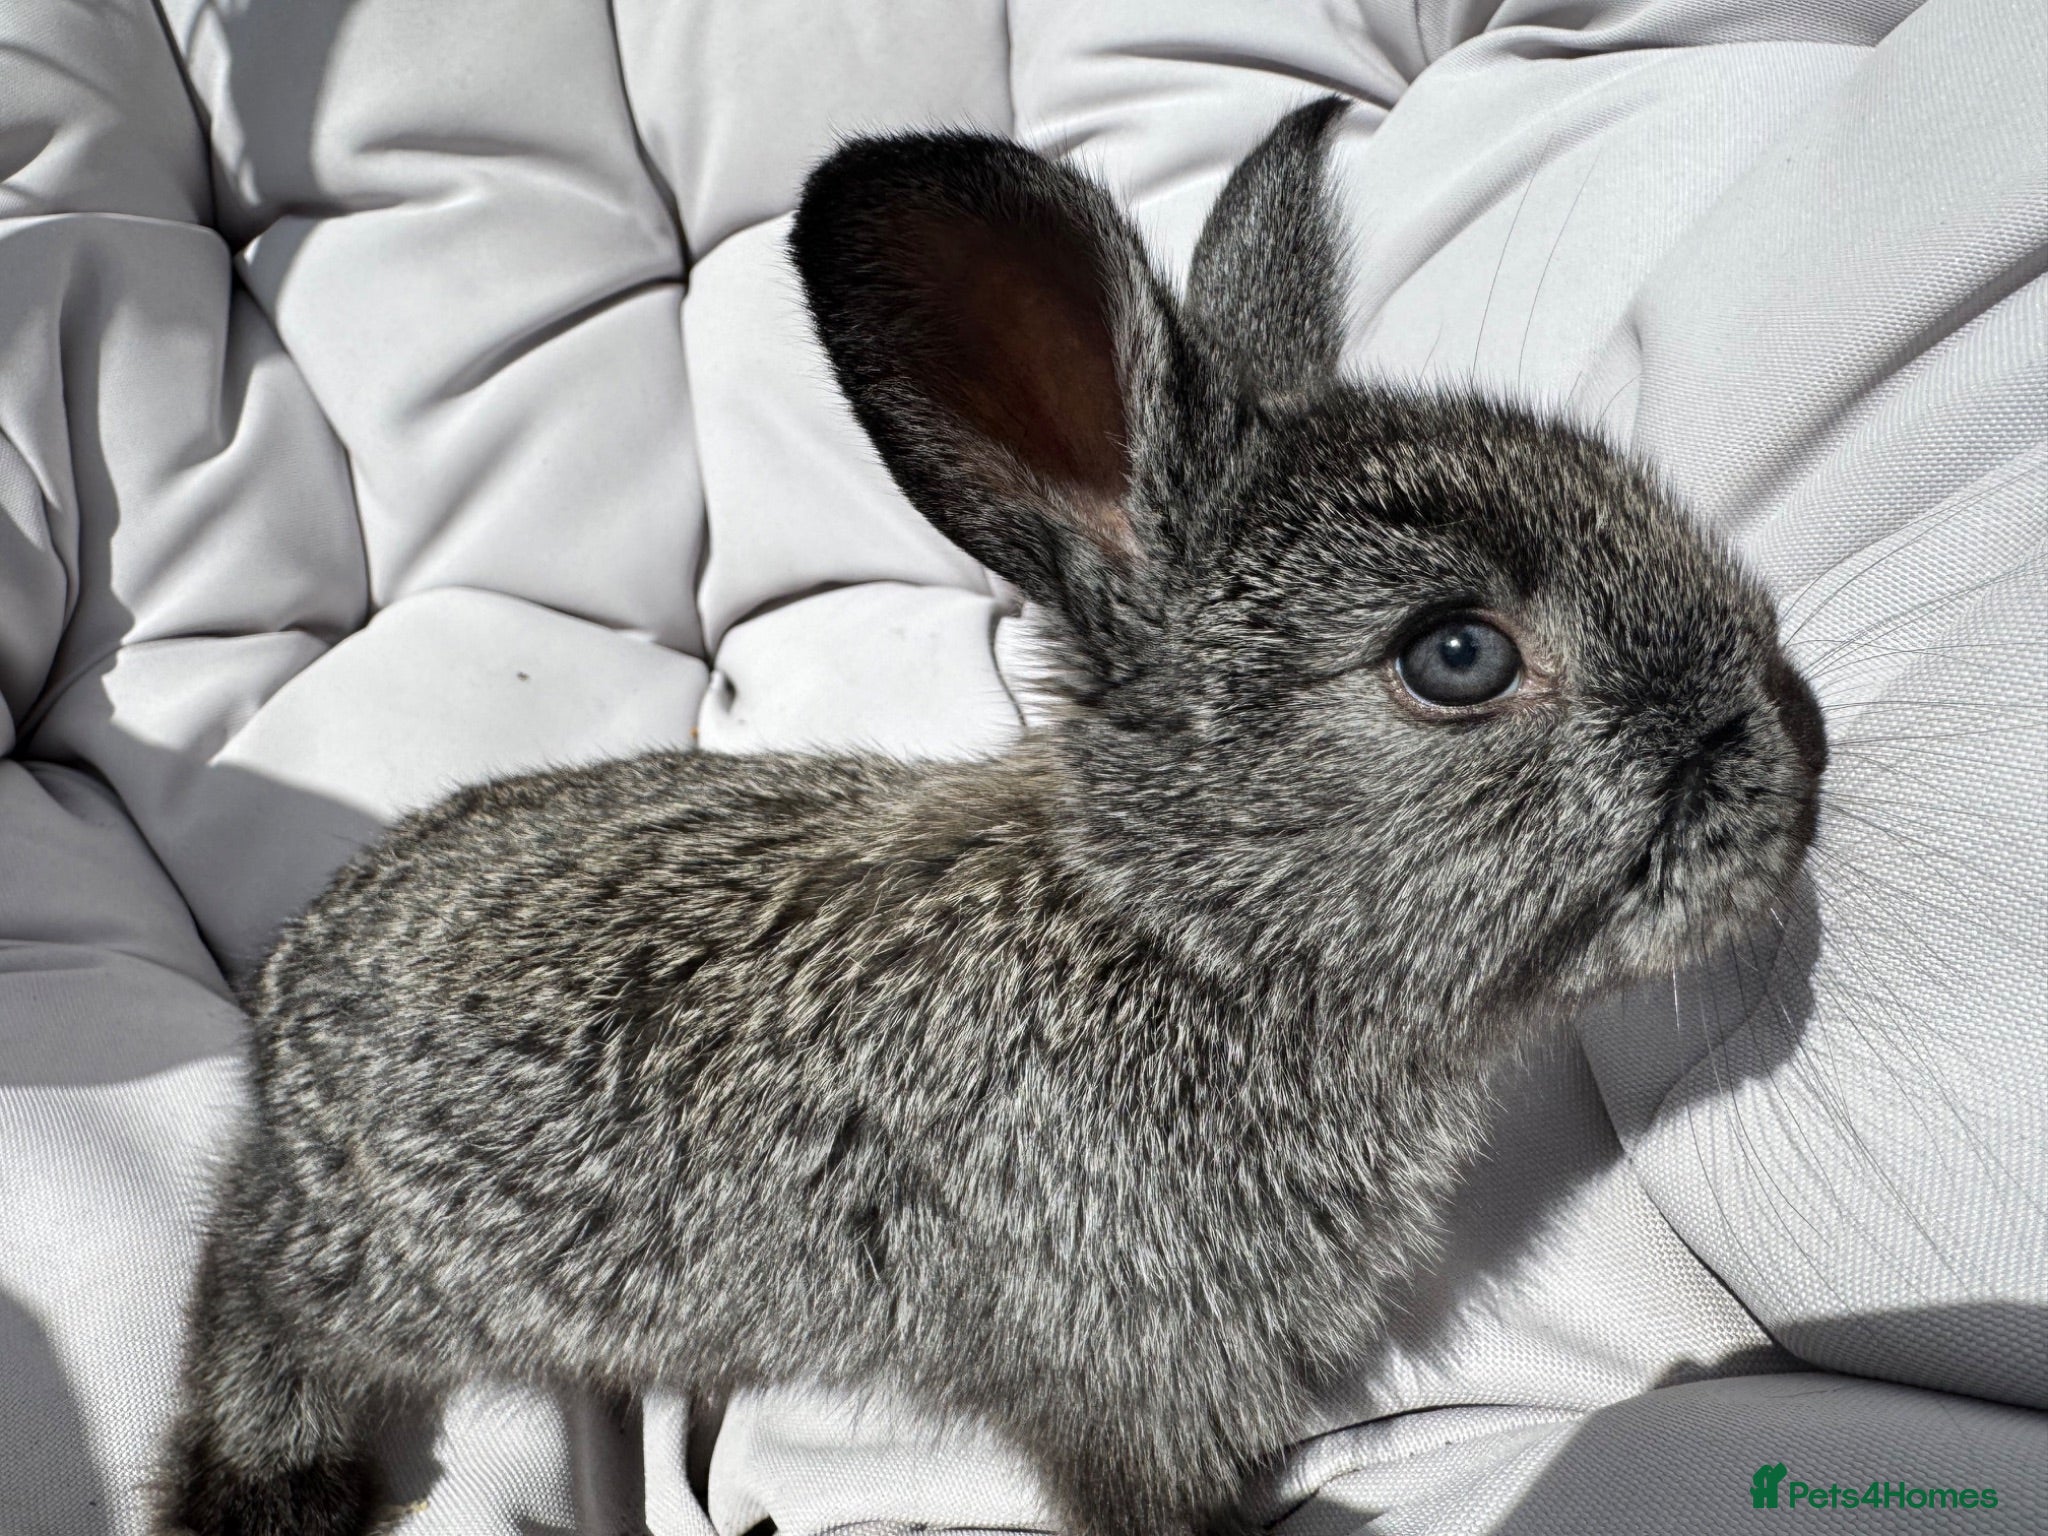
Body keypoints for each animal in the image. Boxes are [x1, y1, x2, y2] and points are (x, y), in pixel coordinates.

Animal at [159, 98, 1828, 1536]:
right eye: (1459, 657)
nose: (1801, 750)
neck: (1190, 936)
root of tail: (283, 1015)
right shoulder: (1121, 1365)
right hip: (392, 1266)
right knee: (250, 1295)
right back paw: (269, 1480)